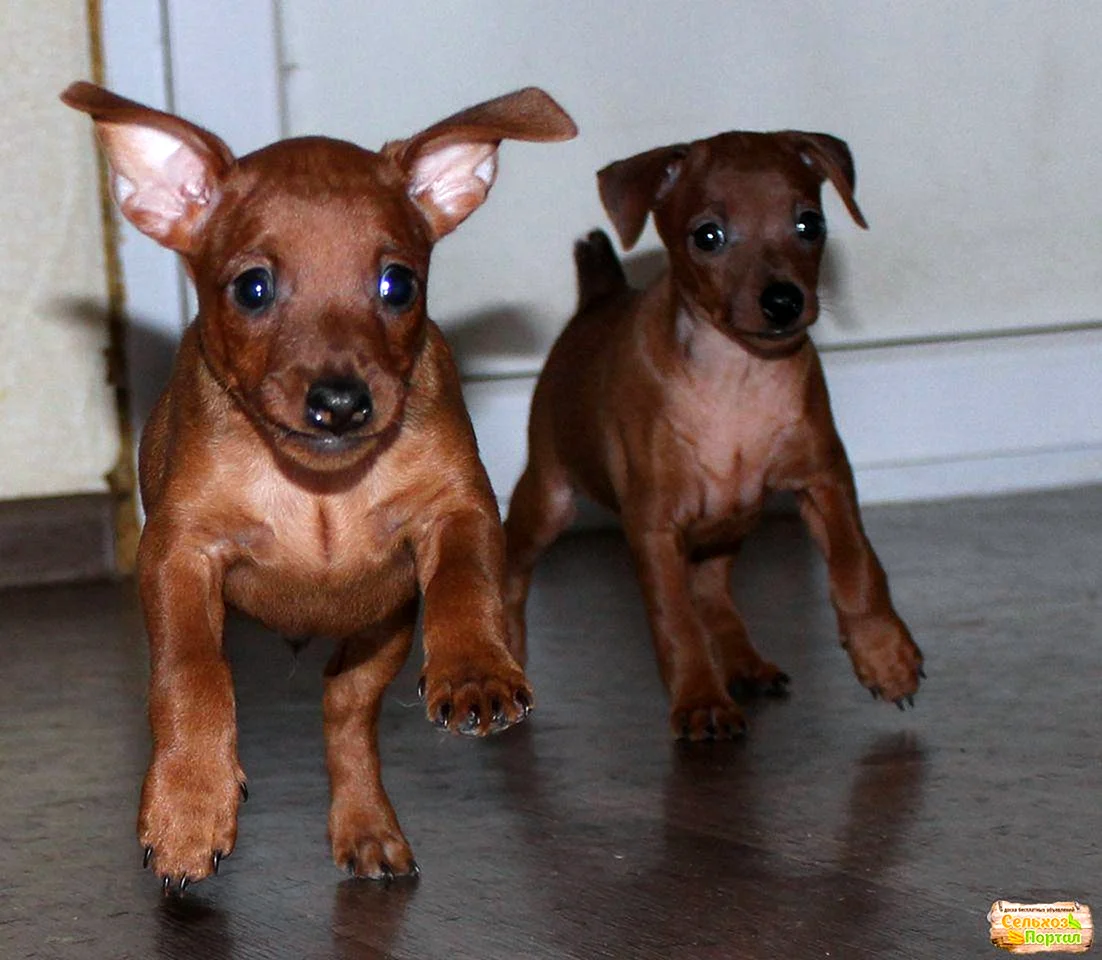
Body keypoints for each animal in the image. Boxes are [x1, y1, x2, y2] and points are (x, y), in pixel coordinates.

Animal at [60, 82, 577, 894]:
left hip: (380, 634)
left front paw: (475, 667)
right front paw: (189, 802)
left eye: (398, 285)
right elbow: (192, 673)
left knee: (345, 714)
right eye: (253, 288)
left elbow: (466, 582)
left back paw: (366, 827)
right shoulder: (178, 556)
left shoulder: (458, 510)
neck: (320, 490)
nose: (340, 402)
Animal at [504, 129, 925, 745]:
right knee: (513, 565)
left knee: (713, 591)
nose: (784, 301)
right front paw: (701, 700)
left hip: (732, 520)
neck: (737, 375)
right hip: (549, 499)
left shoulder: (824, 480)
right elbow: (675, 622)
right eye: (708, 236)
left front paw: (885, 655)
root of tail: (599, 298)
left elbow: (857, 567)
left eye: (809, 224)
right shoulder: (654, 526)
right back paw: (504, 649)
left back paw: (745, 662)